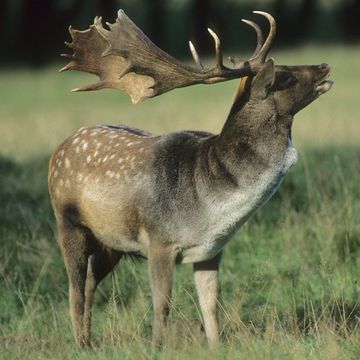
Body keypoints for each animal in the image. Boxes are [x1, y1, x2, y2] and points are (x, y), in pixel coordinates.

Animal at [49, 10, 334, 346]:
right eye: (286, 76)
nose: (324, 65)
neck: (209, 206)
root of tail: (60, 148)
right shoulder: (159, 240)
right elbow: (162, 305)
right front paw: (156, 347)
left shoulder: (212, 250)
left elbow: (210, 306)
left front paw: (216, 346)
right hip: (67, 223)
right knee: (74, 289)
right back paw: (81, 344)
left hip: (111, 241)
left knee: (91, 281)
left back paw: (89, 340)